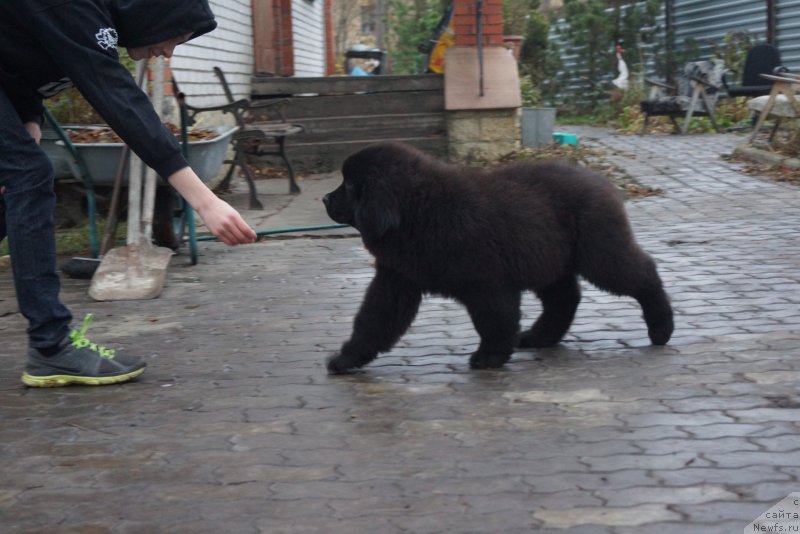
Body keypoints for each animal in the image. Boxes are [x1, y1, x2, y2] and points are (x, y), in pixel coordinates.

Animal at [322, 143, 672, 376]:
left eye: (350, 185)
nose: (324, 198)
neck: (417, 210)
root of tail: (601, 180)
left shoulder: (487, 284)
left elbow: (493, 321)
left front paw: (489, 357)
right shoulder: (396, 280)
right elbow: (374, 321)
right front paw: (346, 359)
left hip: (600, 253)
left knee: (644, 275)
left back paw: (662, 329)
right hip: (550, 261)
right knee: (565, 298)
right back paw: (539, 337)